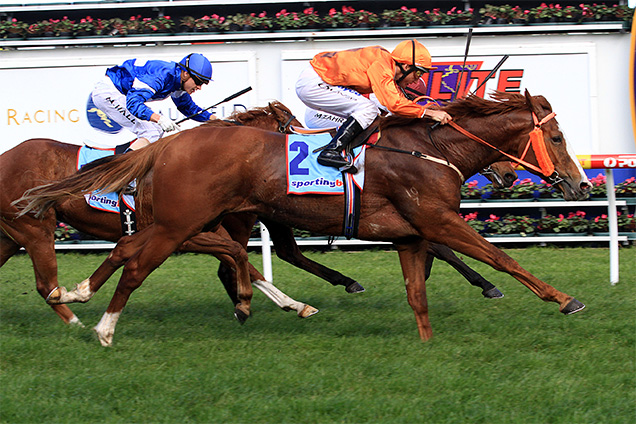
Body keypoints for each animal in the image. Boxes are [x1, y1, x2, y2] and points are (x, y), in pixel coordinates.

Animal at [14, 89, 592, 344]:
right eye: (558, 136)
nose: (581, 184)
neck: (430, 149)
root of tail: (166, 146)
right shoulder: (438, 221)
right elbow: (501, 259)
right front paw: (565, 299)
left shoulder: (411, 235)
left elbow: (418, 292)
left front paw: (427, 345)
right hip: (180, 223)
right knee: (138, 264)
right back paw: (102, 328)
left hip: (187, 221)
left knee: (129, 250)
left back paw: (77, 294)